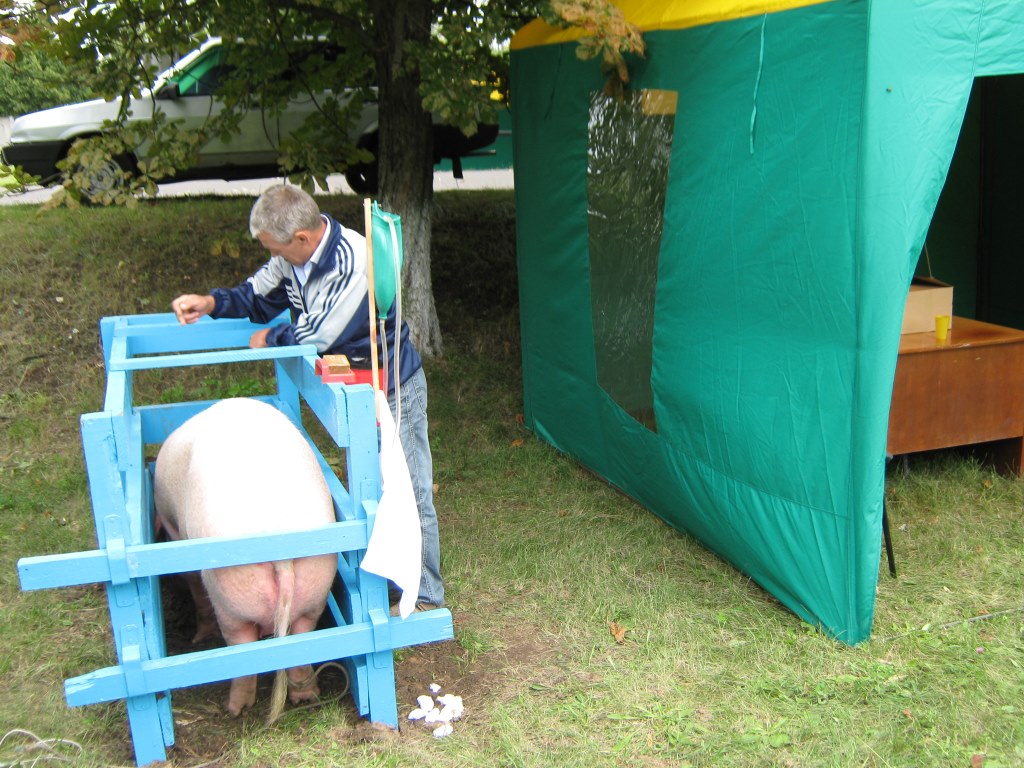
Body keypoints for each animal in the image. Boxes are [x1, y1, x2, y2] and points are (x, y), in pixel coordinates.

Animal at [153, 397, 338, 722]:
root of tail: (279, 542)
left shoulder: (176, 534)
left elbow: (195, 589)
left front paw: (198, 639)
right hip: (317, 582)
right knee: (301, 641)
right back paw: (306, 696)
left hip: (231, 600)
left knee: (242, 650)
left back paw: (235, 708)